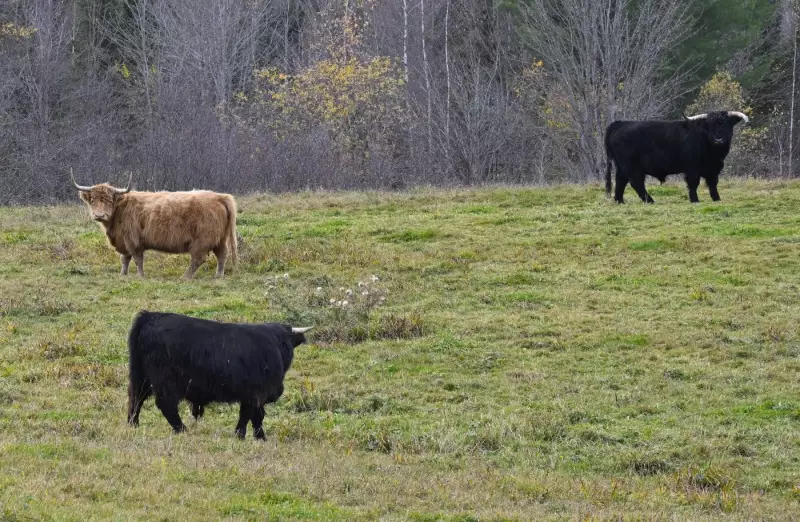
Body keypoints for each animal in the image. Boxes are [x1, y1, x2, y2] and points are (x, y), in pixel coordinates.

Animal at [71, 169, 237, 278]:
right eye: (93, 200)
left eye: (109, 200)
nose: (99, 215)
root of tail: (219, 196)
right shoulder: (123, 240)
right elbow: (125, 258)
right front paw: (122, 274)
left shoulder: (133, 240)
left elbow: (137, 259)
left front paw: (140, 276)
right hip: (220, 238)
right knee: (222, 254)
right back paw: (218, 276)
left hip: (202, 240)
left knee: (198, 258)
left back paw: (185, 277)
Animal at [126, 311, 312, 439]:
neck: (275, 344)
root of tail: (150, 316)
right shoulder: (257, 393)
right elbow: (253, 416)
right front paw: (250, 436)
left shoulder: (251, 395)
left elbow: (250, 415)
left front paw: (250, 436)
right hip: (165, 380)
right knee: (165, 404)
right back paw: (182, 430)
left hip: (140, 376)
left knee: (136, 399)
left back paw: (133, 425)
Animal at [604, 111, 749, 204]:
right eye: (709, 125)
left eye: (725, 124)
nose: (718, 139)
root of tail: (620, 123)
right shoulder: (692, 167)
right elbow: (693, 183)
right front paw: (695, 200)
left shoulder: (713, 168)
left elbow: (713, 184)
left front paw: (716, 199)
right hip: (632, 166)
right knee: (636, 182)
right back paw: (650, 200)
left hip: (621, 166)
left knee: (621, 181)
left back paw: (619, 201)